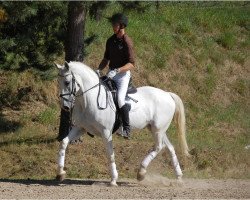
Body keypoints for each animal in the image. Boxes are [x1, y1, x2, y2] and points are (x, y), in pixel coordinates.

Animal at [54, 61, 189, 186]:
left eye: (67, 82)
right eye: (58, 82)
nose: (65, 107)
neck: (89, 100)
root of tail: (167, 94)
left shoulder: (106, 132)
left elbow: (110, 154)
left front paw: (113, 180)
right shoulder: (80, 128)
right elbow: (64, 143)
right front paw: (60, 173)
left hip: (158, 129)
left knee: (159, 147)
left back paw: (141, 172)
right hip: (157, 129)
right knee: (169, 147)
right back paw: (179, 177)